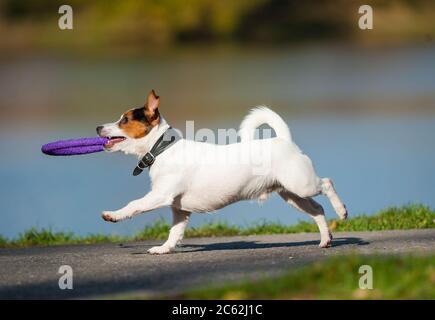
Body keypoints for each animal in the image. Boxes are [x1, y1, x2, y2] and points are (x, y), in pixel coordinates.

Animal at [97, 90, 350, 255]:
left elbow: (134, 205)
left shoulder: (159, 196)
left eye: (124, 120)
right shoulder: (180, 210)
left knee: (327, 183)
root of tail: (284, 140)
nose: (98, 127)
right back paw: (326, 239)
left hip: (302, 184)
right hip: (291, 194)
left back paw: (342, 211)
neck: (162, 148)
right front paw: (164, 249)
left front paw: (113, 215)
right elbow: (174, 233)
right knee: (317, 210)